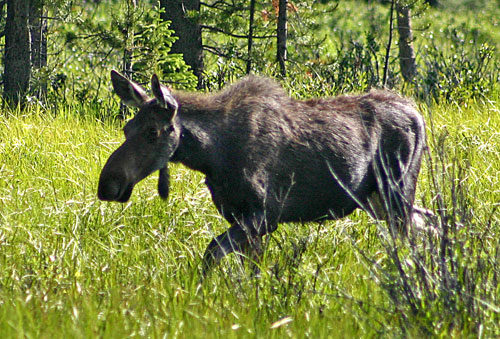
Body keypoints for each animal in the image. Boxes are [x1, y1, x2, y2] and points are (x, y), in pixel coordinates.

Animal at [99, 71, 428, 276]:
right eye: (127, 128)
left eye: (153, 131)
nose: (108, 184)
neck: (212, 155)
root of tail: (418, 114)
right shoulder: (240, 217)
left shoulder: (263, 216)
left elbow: (212, 254)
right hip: (378, 201)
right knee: (426, 223)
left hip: (396, 192)